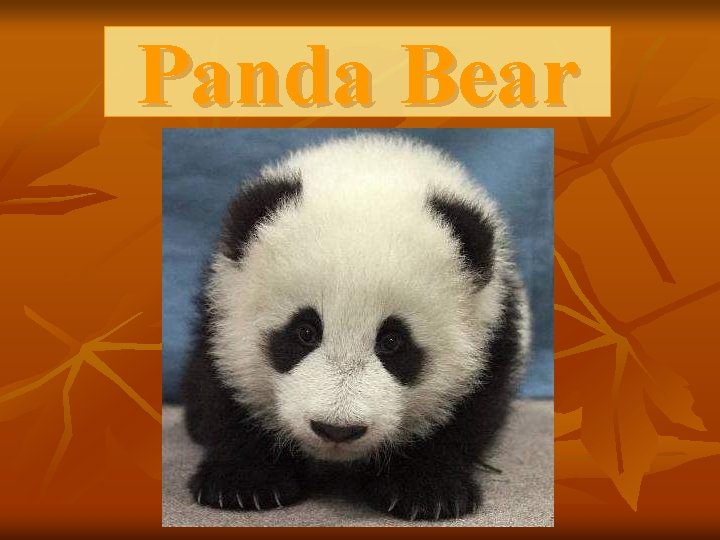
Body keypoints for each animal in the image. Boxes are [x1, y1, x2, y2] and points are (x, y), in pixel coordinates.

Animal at [182, 133, 530, 521]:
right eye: (305, 332)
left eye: (392, 341)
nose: (337, 429)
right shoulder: (221, 314)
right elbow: (224, 391)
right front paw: (244, 482)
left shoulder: (493, 329)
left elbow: (468, 411)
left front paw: (426, 489)